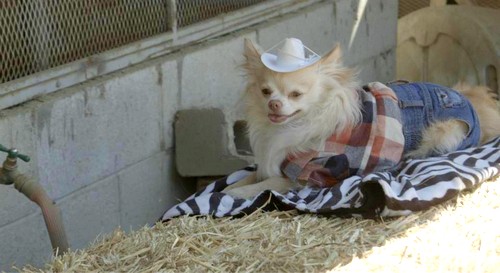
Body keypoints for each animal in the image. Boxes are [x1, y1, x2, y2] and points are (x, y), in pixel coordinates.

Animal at [224, 38, 500, 198]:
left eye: (296, 94)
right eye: (265, 91)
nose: (274, 103)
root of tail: (471, 99)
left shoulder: (311, 174)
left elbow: (266, 184)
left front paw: (238, 193)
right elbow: (253, 176)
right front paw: (230, 187)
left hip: (445, 134)